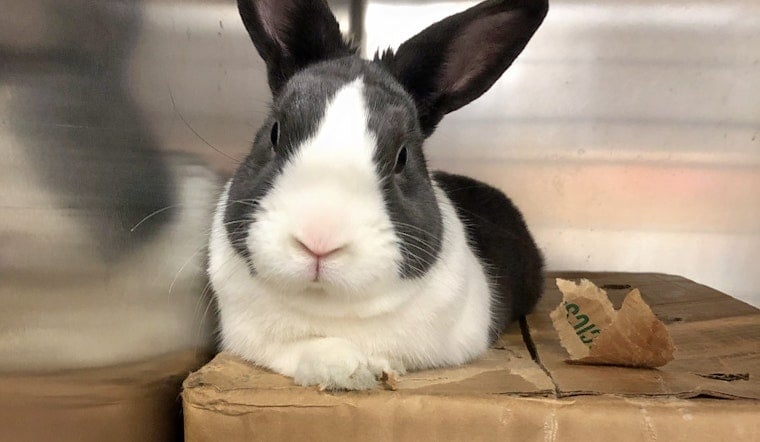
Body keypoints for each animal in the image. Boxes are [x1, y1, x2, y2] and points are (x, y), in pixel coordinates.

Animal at [208, 0, 547, 390]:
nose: (318, 240)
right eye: (274, 133)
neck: (326, 301)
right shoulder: (246, 335)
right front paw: (347, 369)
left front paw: (374, 367)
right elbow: (301, 349)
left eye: (402, 156)